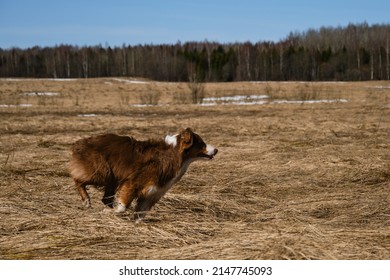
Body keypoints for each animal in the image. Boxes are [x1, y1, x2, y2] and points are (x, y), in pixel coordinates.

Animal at [68, 128, 218, 222]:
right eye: (201, 143)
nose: (216, 150)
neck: (173, 154)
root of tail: (79, 142)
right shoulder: (133, 183)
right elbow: (122, 207)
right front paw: (112, 213)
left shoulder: (152, 193)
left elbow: (140, 213)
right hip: (102, 173)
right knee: (78, 180)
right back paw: (86, 200)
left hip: (111, 179)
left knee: (105, 199)